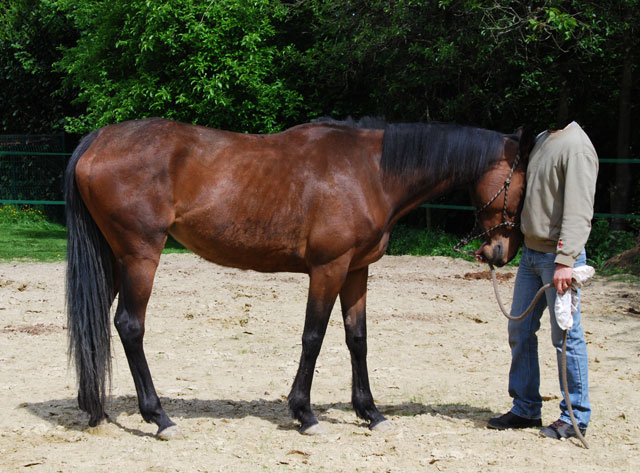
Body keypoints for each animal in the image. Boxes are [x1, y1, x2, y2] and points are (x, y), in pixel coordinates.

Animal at [65, 116, 532, 436]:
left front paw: (370, 412)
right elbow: (314, 336)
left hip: (113, 260)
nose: (501, 253)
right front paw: (304, 413)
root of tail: (99, 139)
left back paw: (96, 408)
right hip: (139, 256)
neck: (371, 172)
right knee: (129, 326)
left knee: (96, 325)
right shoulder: (329, 268)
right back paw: (159, 416)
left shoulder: (356, 270)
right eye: (523, 186)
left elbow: (356, 338)